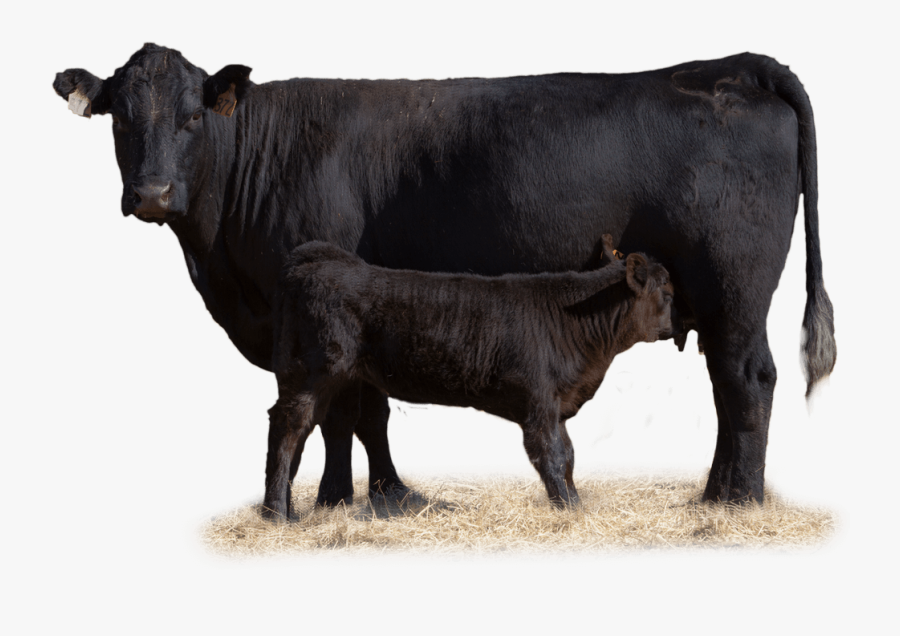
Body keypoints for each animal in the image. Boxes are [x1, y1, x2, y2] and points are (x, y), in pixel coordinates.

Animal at [264, 238, 676, 517]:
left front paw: (574, 503)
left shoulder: (558, 404)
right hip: (315, 370)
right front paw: (566, 508)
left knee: (307, 426)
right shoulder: (539, 403)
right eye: (669, 294)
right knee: (289, 425)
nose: (673, 329)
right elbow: (551, 456)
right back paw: (277, 513)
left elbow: (570, 455)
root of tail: (323, 259)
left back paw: (286, 507)